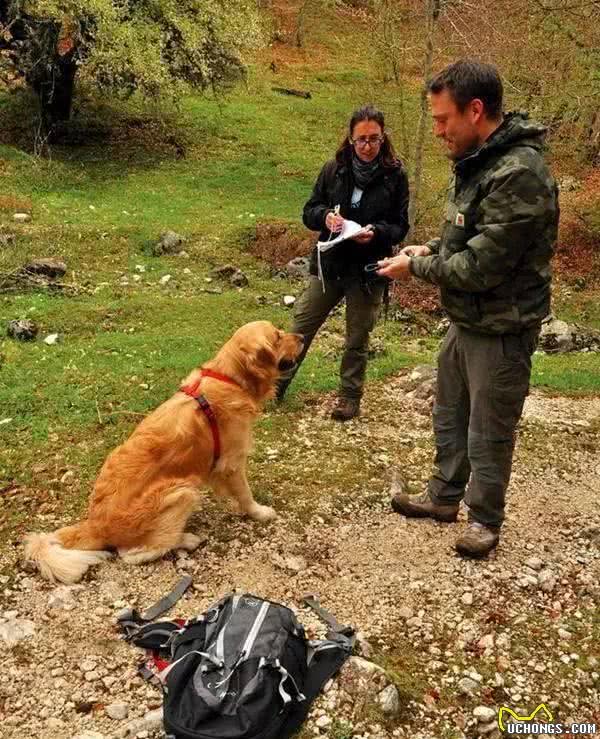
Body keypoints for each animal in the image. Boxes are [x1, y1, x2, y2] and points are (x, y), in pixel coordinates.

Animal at [25, 322, 302, 584]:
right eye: (278, 336)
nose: (301, 337)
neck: (229, 378)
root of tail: (94, 525)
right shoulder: (231, 463)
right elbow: (245, 494)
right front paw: (260, 512)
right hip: (182, 490)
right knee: (133, 553)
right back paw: (187, 539)